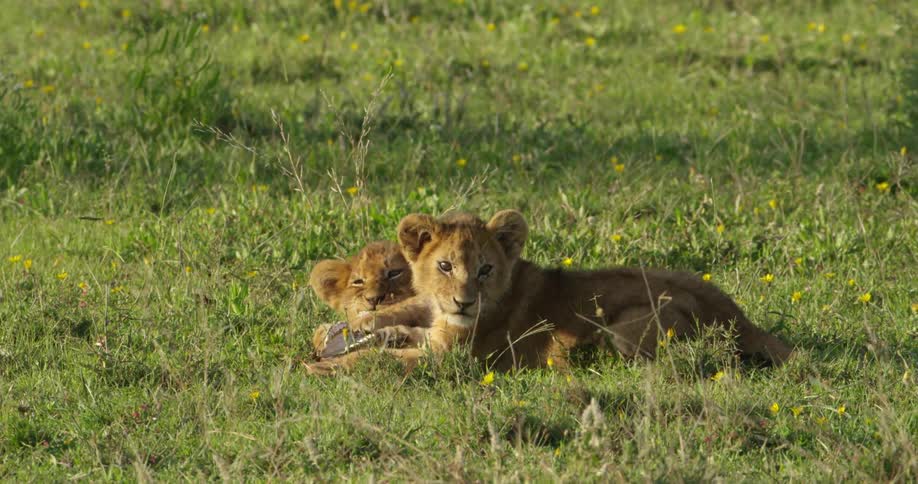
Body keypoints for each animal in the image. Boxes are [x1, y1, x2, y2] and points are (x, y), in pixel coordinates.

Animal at [304, 211, 793, 374]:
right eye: (444, 266)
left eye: (485, 269)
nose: (464, 300)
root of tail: (738, 316)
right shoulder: (433, 331)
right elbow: (397, 328)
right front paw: (356, 328)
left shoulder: (454, 358)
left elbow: (380, 359)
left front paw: (325, 366)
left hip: (630, 326)